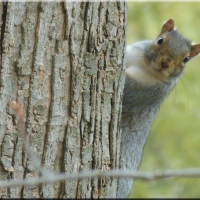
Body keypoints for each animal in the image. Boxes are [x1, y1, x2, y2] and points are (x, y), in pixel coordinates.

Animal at [117, 19, 200, 198]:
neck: (145, 65)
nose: (165, 63)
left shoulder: (145, 91)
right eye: (160, 40)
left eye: (186, 59)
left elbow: (127, 87)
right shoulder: (132, 51)